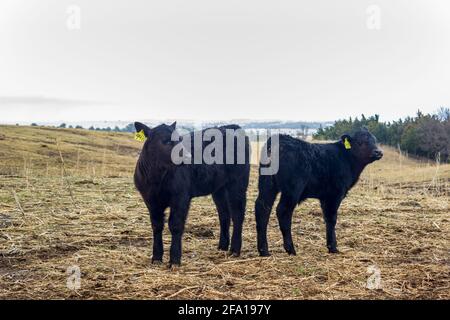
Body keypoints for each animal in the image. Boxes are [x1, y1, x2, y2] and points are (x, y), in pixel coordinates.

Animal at [134, 121, 253, 266]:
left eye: (179, 139)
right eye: (166, 141)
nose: (187, 157)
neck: (156, 177)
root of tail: (231, 126)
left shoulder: (181, 197)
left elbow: (175, 225)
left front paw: (174, 260)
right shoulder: (150, 201)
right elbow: (157, 226)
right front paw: (156, 257)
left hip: (238, 183)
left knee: (237, 214)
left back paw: (235, 250)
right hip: (218, 188)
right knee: (224, 214)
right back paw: (222, 246)